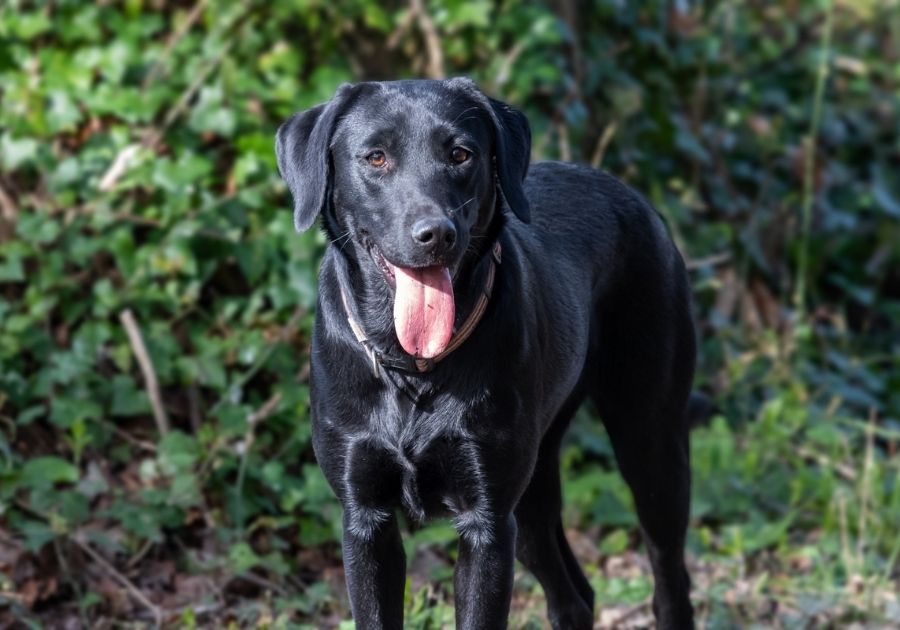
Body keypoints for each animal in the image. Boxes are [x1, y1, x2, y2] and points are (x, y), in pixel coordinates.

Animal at [274, 80, 696, 630]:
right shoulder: (366, 520)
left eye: (460, 154)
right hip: (536, 486)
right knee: (574, 596)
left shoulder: (488, 524)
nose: (436, 234)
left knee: (670, 581)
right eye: (375, 157)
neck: (413, 370)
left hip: (650, 444)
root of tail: (634, 198)